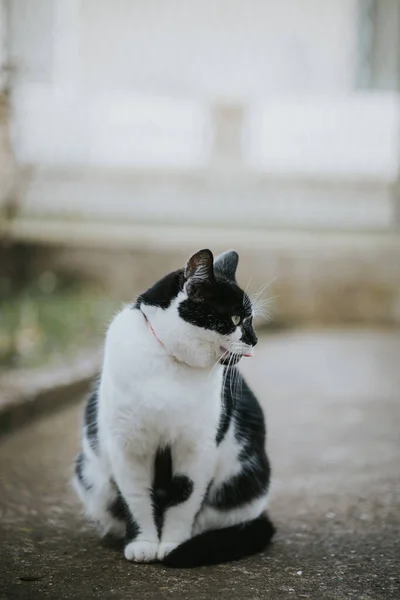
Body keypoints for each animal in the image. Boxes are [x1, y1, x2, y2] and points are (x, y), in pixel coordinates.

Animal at [73, 248, 276, 568]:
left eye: (252, 319)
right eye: (236, 318)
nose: (255, 339)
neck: (170, 363)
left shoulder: (197, 447)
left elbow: (184, 499)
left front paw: (172, 545)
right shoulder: (126, 446)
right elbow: (135, 497)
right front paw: (143, 543)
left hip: (244, 482)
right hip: (90, 475)